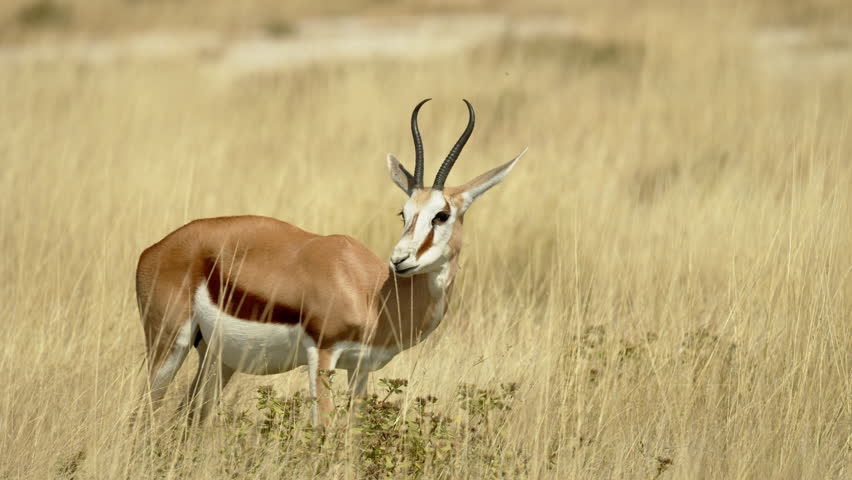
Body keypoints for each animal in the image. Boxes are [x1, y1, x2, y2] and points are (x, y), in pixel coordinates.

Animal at [135, 99, 526, 425]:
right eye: (403, 212)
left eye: (441, 215)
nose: (399, 260)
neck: (375, 295)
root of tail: (153, 250)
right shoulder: (322, 355)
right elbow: (321, 427)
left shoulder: (361, 368)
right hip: (169, 345)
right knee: (146, 409)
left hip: (218, 358)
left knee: (190, 415)